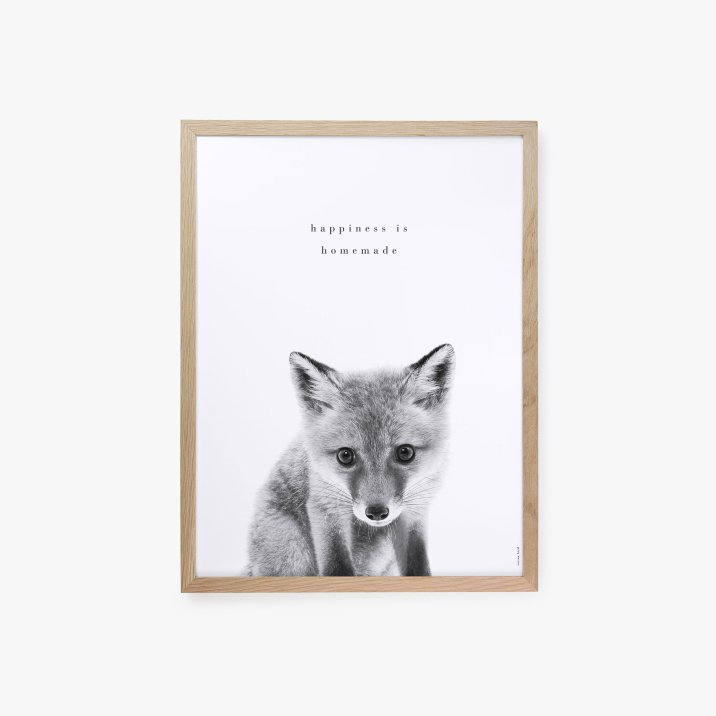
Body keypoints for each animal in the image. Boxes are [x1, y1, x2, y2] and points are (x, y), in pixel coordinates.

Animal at [246, 344, 454, 577]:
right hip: (292, 553)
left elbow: (418, 566)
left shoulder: (416, 510)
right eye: (345, 455)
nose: (376, 513)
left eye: (405, 453)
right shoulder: (325, 505)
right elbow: (337, 567)